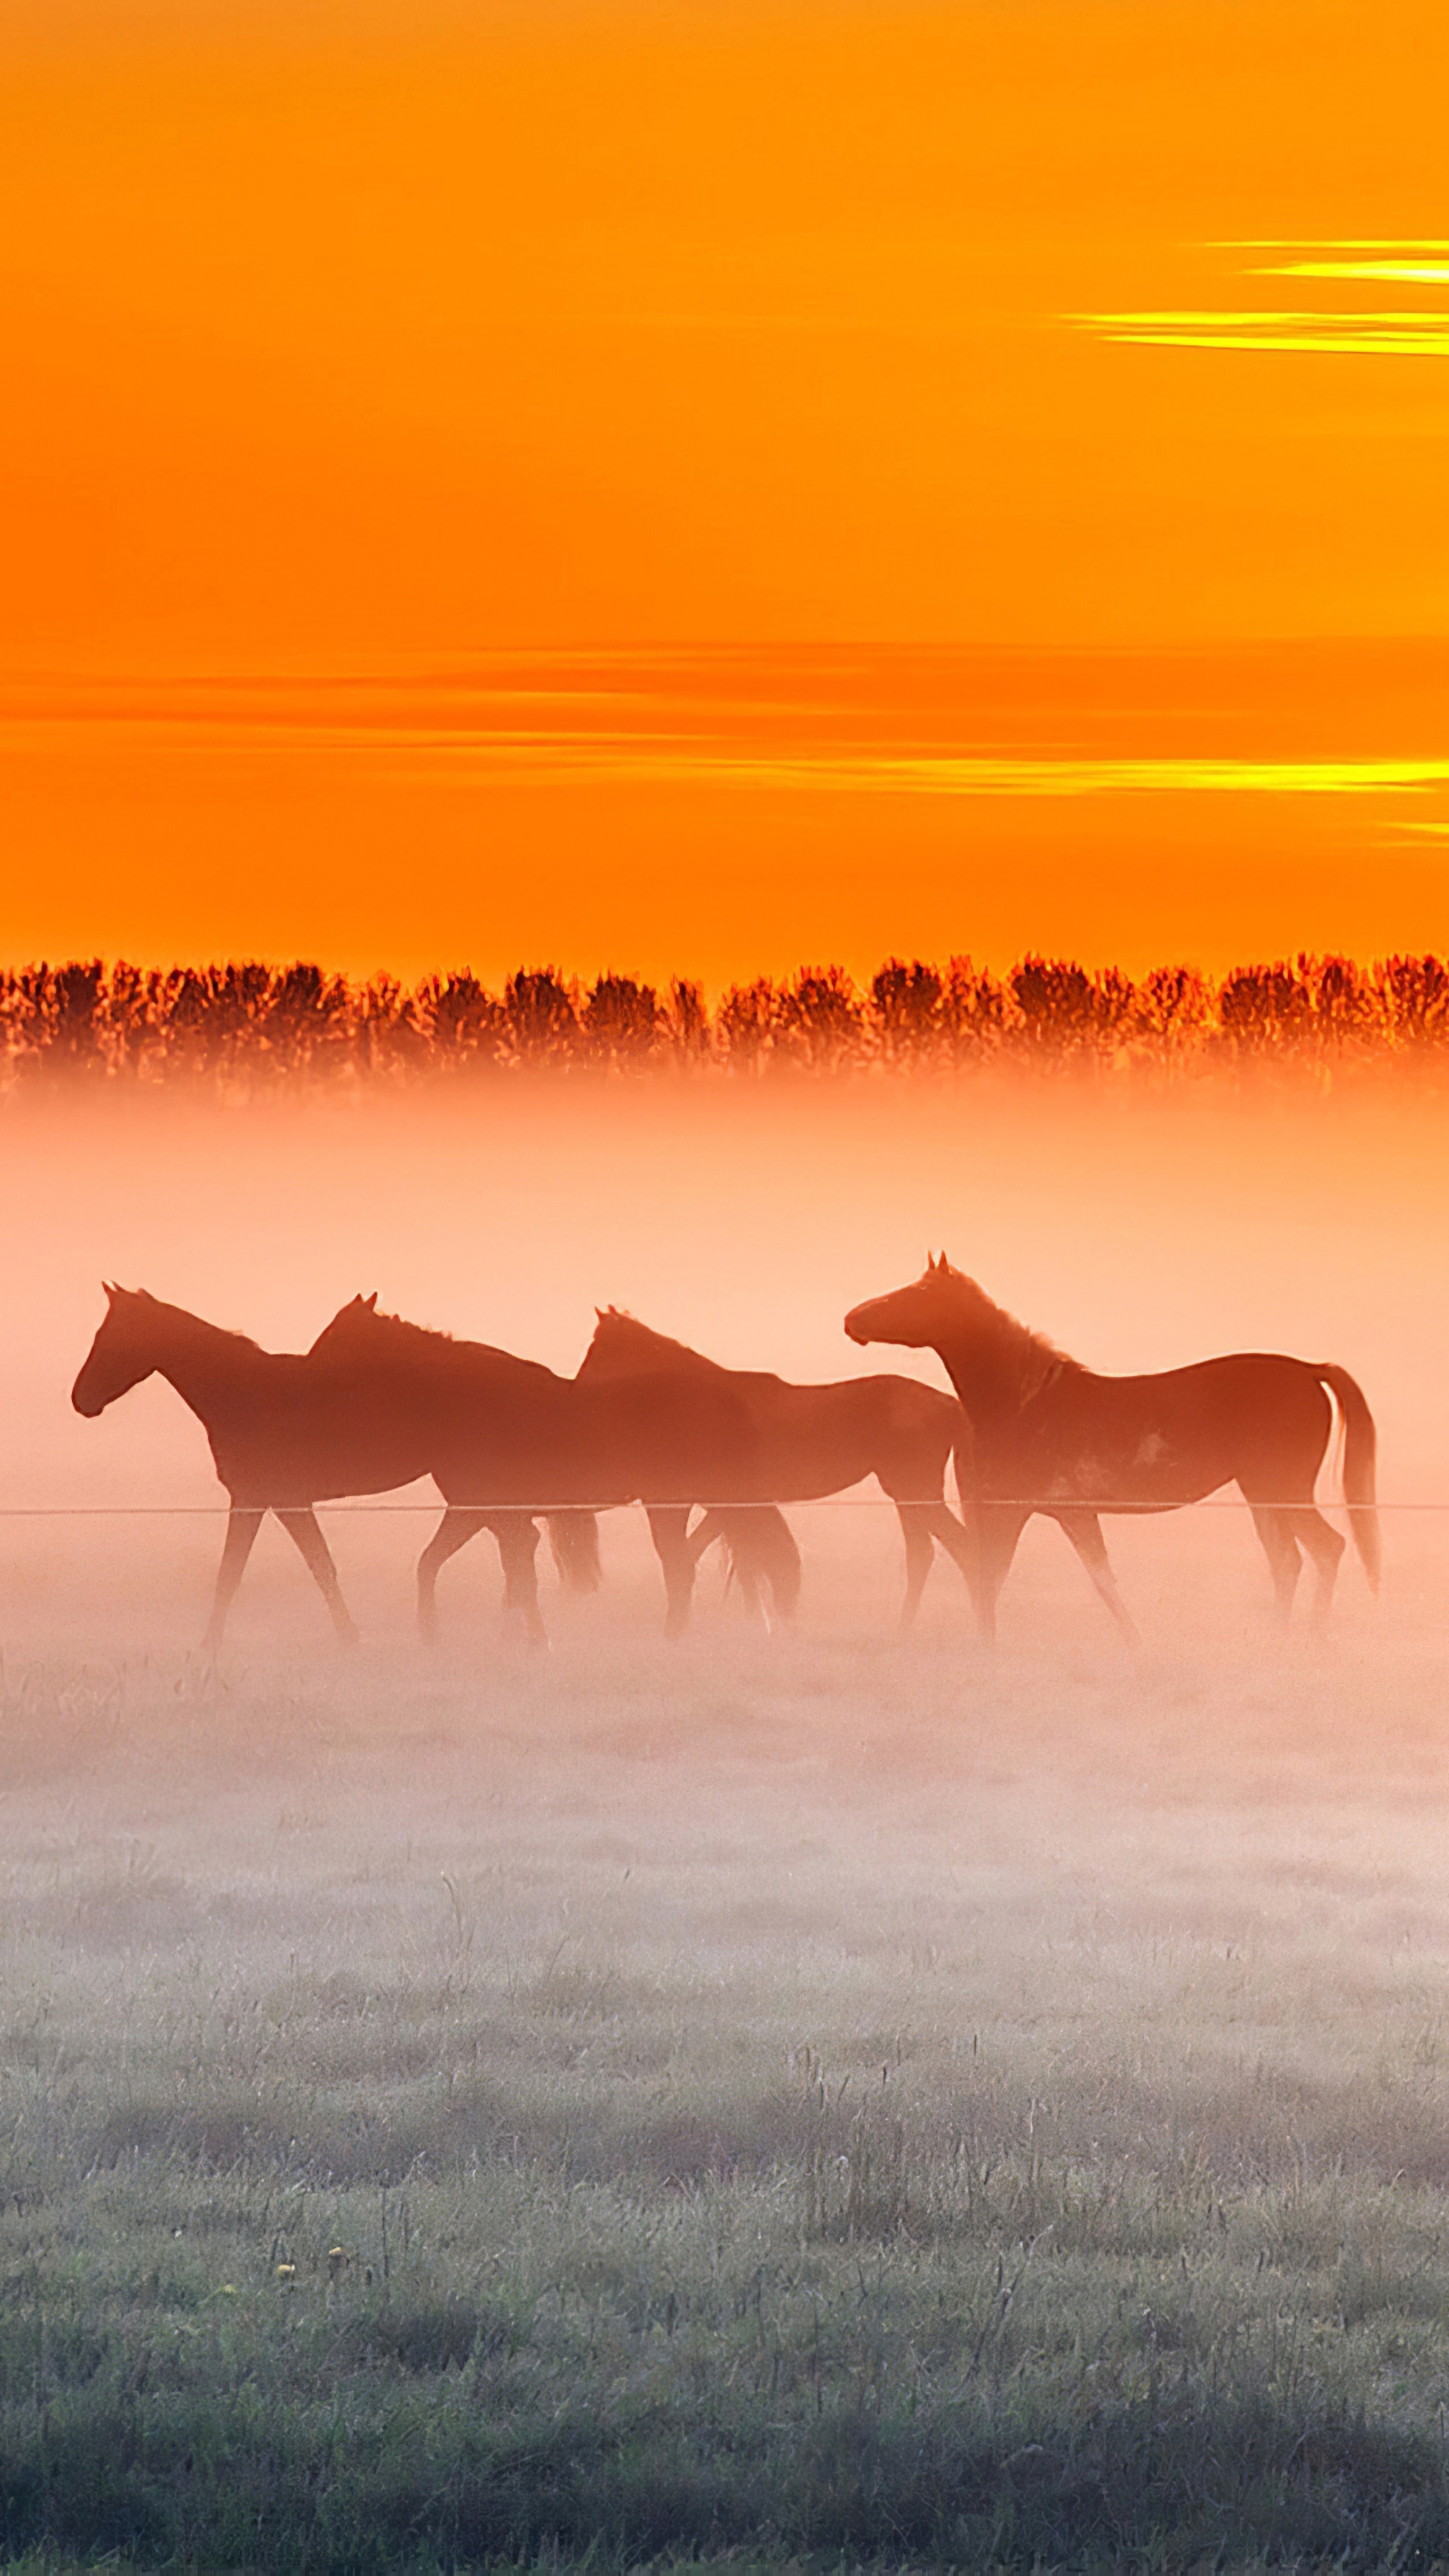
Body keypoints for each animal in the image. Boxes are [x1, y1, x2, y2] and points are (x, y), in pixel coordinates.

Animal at [70, 1283, 437, 1650]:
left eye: (110, 1335)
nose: (80, 1399)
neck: (246, 1396)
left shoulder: (270, 1500)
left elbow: (283, 1569)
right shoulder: (268, 1501)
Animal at [303, 1298, 766, 1640]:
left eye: (338, 1336)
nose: (308, 1375)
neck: (466, 1400)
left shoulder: (488, 1515)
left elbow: (506, 1575)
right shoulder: (485, 1515)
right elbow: (466, 1569)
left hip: (669, 1504)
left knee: (684, 1566)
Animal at [575, 1304, 979, 1627]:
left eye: (600, 1350)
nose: (579, 1390)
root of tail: (950, 1405)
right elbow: (740, 1560)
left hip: (914, 1491)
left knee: (956, 1547)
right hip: (906, 1494)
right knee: (924, 1555)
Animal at [844, 1255, 1380, 1639]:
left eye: (918, 1294)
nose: (853, 1319)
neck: (1025, 1403)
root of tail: (1309, 1370)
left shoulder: (1032, 1512)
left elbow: (997, 1580)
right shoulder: (1056, 1515)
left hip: (1282, 1490)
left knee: (1326, 1549)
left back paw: (1309, 1640)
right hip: (1262, 1493)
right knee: (1287, 1561)